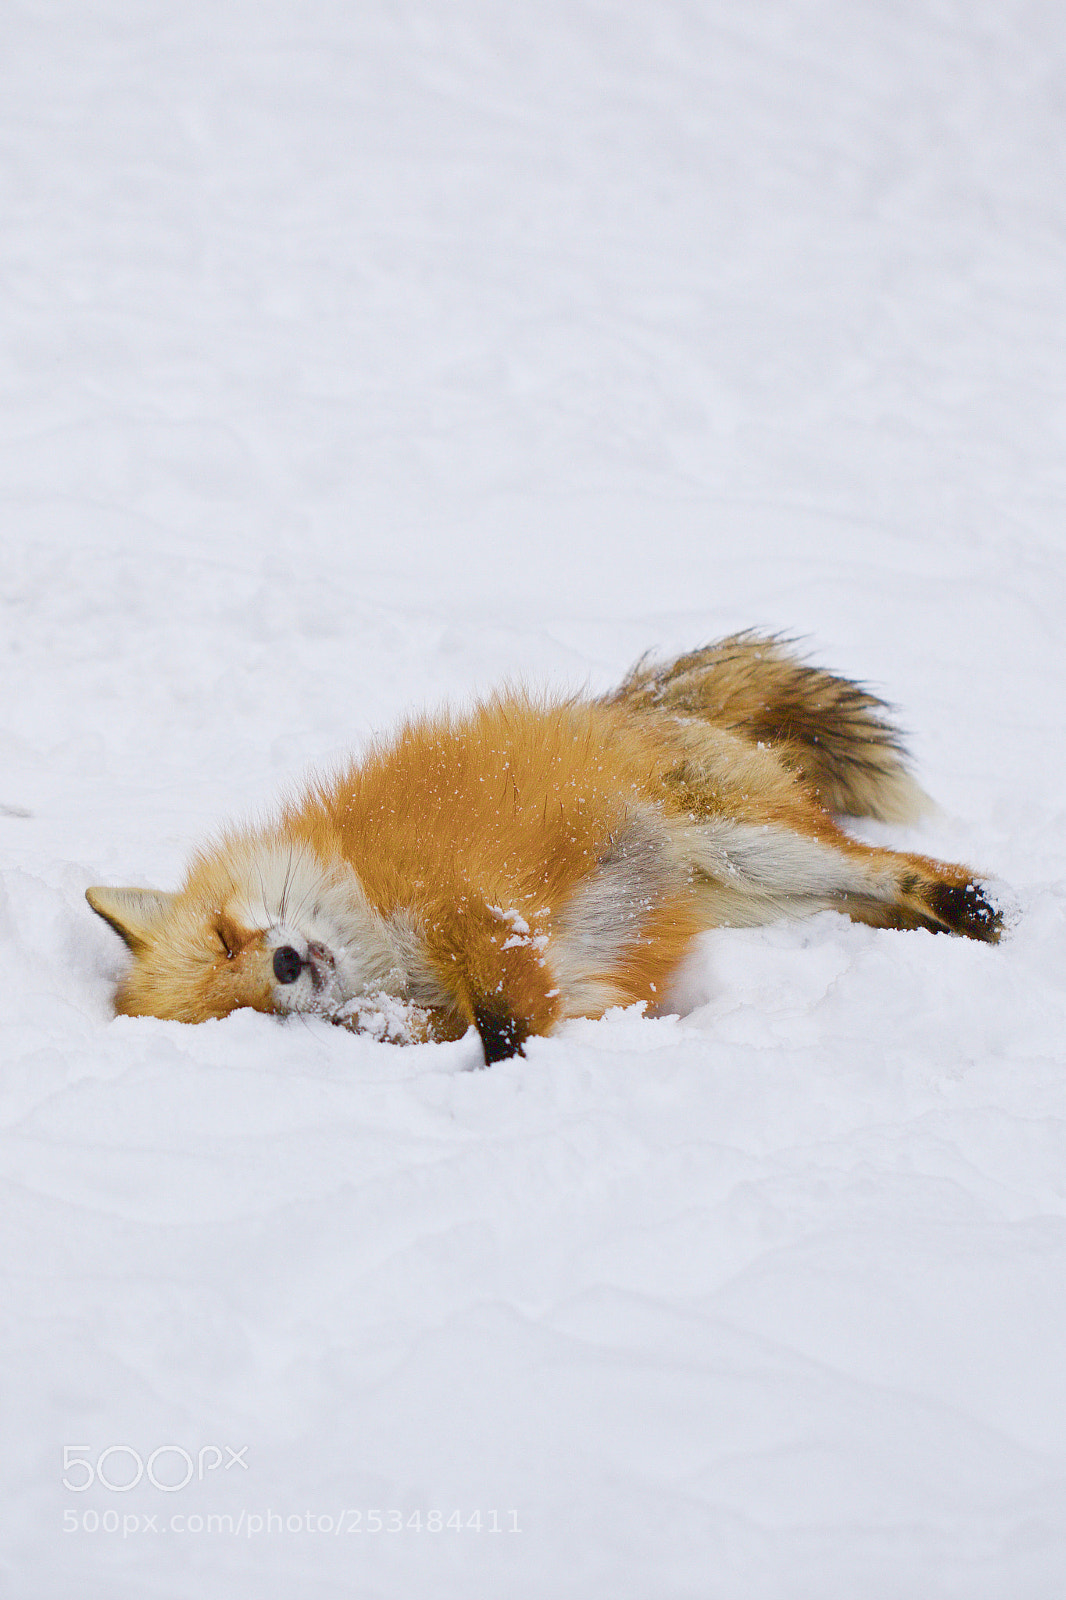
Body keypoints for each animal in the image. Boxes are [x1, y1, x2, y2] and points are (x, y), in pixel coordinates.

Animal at [86, 633, 1002, 1064]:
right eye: (237, 1010)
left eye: (223, 938)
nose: (284, 965)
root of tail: (630, 703)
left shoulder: (477, 909)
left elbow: (502, 1007)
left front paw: (510, 1062)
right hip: (762, 898)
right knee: (878, 900)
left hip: (750, 843)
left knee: (904, 868)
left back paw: (981, 909)